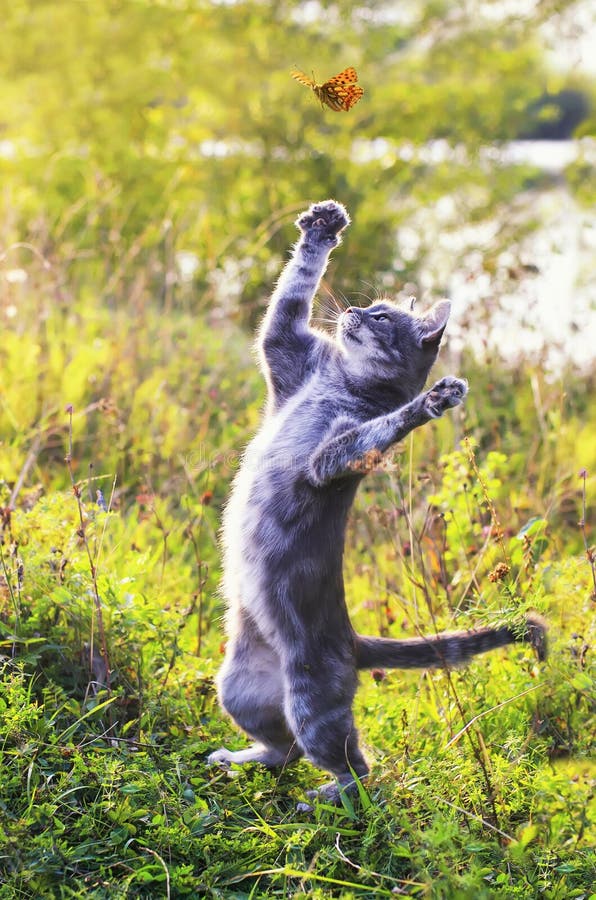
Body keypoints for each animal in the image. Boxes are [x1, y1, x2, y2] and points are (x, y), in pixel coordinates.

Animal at [207, 199, 548, 800]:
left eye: (384, 318)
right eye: (371, 306)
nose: (353, 310)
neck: (339, 383)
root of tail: (351, 641)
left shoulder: (331, 458)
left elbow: (380, 428)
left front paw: (432, 401)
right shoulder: (287, 353)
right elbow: (290, 295)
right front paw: (323, 226)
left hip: (312, 701)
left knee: (356, 768)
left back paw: (326, 796)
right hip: (239, 685)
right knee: (283, 751)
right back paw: (241, 758)